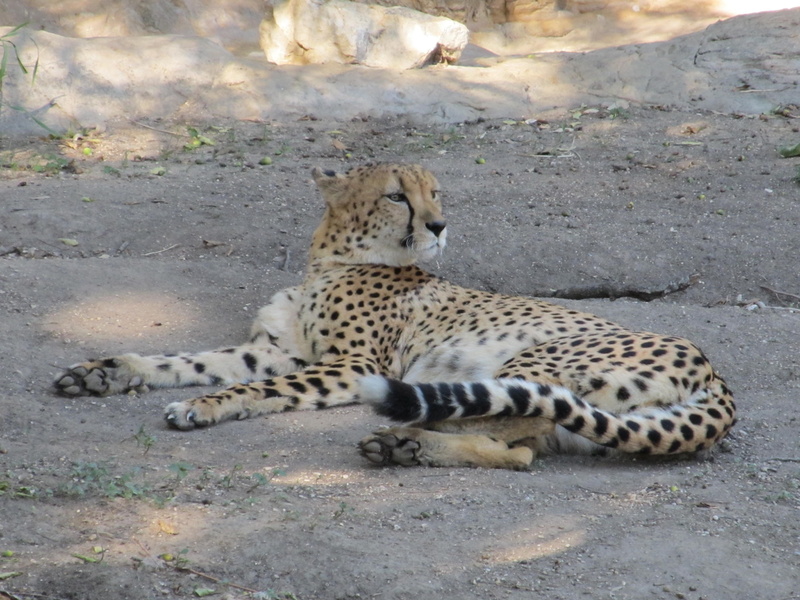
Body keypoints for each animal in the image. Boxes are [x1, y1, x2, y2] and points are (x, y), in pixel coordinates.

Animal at [55, 163, 736, 470]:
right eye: (396, 195)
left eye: (436, 194)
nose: (439, 225)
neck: (330, 260)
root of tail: (713, 370)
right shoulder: (278, 349)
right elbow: (188, 359)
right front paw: (108, 371)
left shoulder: (352, 366)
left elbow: (252, 387)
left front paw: (205, 406)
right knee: (527, 444)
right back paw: (404, 444)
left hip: (532, 361)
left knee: (522, 431)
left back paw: (406, 439)